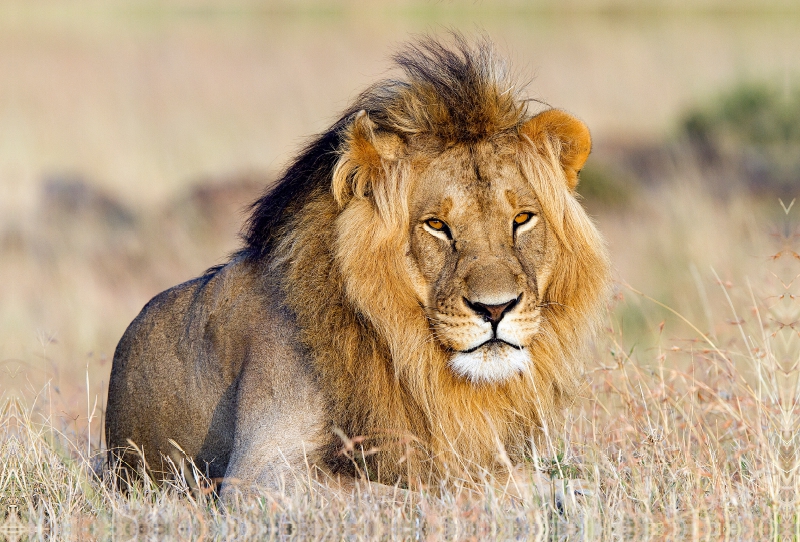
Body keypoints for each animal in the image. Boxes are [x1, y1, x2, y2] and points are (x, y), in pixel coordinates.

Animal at [104, 37, 608, 498]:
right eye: (436, 225)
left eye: (522, 218)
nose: (496, 309)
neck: (410, 356)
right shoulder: (261, 475)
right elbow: (430, 487)